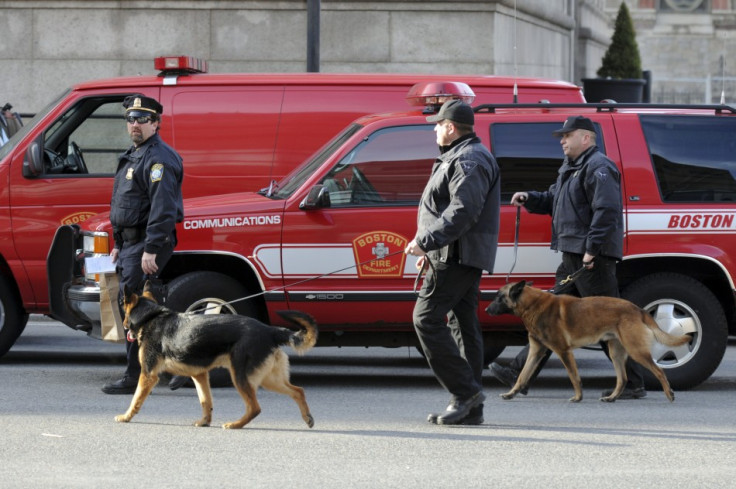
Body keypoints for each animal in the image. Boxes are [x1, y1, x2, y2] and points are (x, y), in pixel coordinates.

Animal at [114, 282, 316, 428]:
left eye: (122, 307)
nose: (123, 326)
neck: (150, 316)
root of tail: (269, 330)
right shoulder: (199, 375)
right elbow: (206, 401)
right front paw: (205, 422)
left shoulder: (148, 375)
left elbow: (136, 399)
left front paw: (126, 417)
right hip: (268, 379)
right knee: (298, 391)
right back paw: (307, 417)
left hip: (241, 377)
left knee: (255, 408)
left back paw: (235, 425)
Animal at [486, 280, 692, 402]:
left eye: (499, 298)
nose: (487, 310)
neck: (532, 304)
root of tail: (637, 309)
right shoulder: (536, 351)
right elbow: (522, 375)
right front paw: (511, 393)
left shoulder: (563, 351)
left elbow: (574, 376)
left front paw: (578, 397)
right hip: (616, 353)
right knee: (623, 378)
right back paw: (612, 397)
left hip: (636, 351)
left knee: (658, 371)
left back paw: (669, 394)